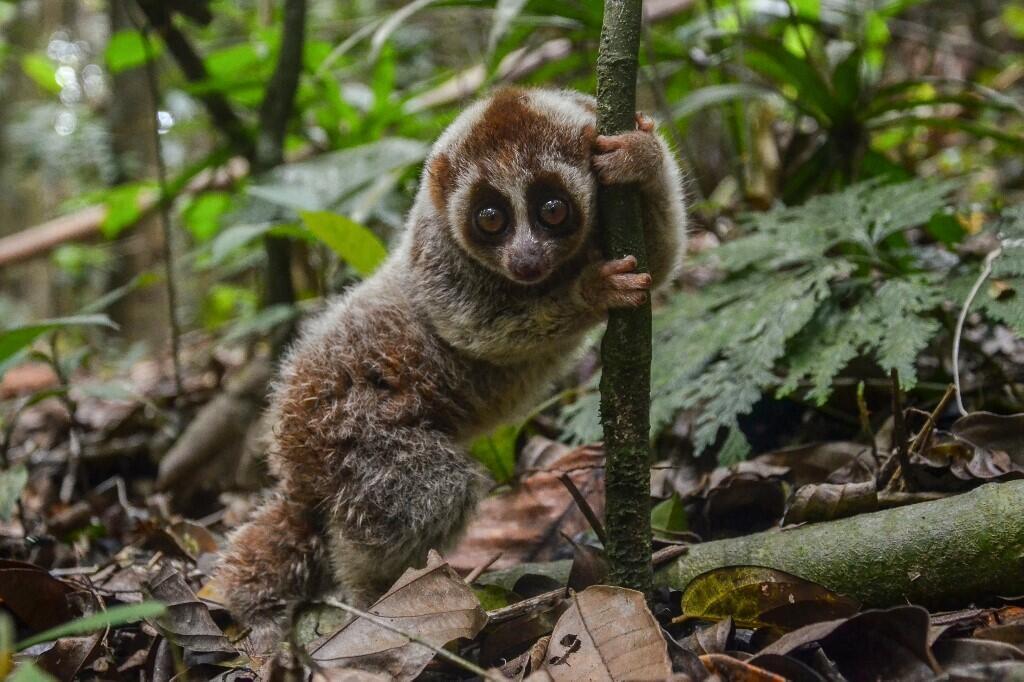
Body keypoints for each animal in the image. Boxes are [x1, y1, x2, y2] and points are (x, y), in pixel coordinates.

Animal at [215, 87, 687, 642]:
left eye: (553, 209)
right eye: (490, 219)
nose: (526, 260)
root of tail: (293, 463)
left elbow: (660, 259)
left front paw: (640, 155)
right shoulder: (435, 253)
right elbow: (468, 325)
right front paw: (590, 290)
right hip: (349, 429)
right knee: (427, 495)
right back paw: (373, 594)